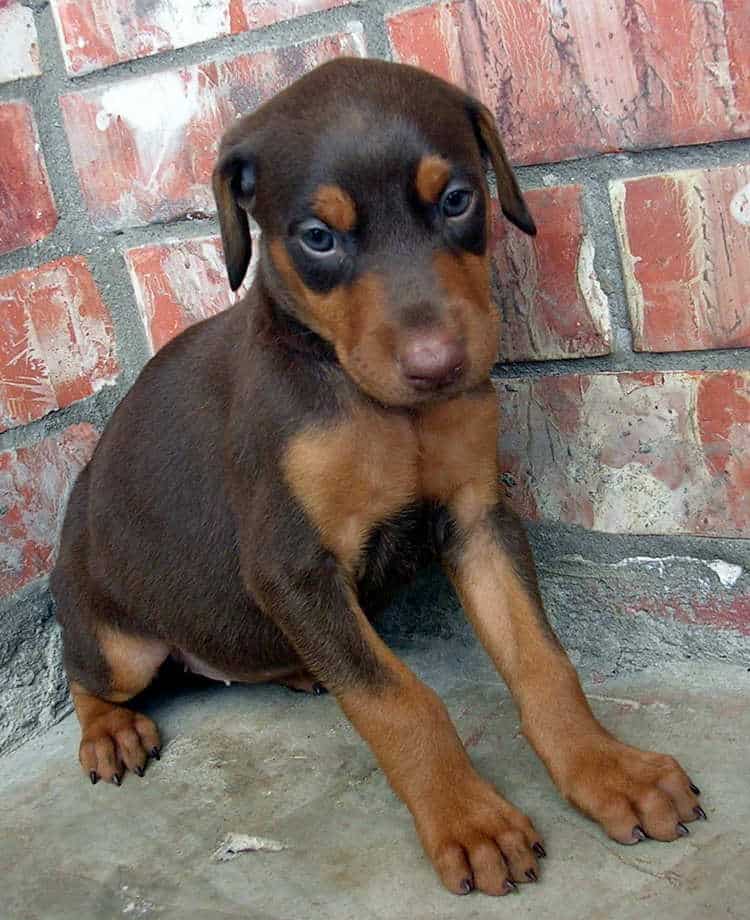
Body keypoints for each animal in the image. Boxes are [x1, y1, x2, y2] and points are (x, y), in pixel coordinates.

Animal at [53, 55, 704, 892]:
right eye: (318, 237)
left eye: (457, 199)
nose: (438, 367)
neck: (376, 402)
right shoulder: (292, 566)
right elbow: (397, 700)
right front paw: (468, 819)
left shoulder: (476, 518)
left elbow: (541, 660)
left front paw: (607, 770)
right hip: (121, 640)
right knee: (88, 672)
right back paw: (111, 728)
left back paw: (300, 670)